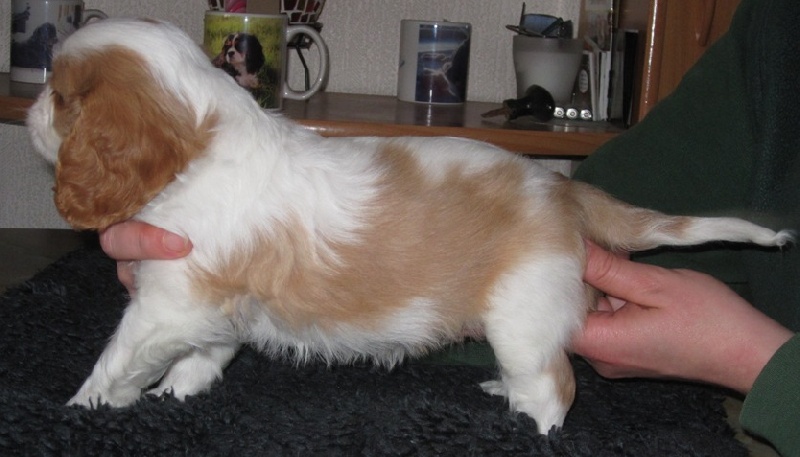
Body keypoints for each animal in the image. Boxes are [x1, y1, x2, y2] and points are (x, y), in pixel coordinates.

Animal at [27, 19, 793, 434]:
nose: (32, 111)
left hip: (523, 314)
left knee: (554, 388)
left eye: (60, 98)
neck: (201, 140)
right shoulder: (211, 304)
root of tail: (561, 190)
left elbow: (118, 358)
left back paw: (530, 424)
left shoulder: (168, 302)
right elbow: (203, 356)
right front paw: (179, 394)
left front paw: (85, 407)